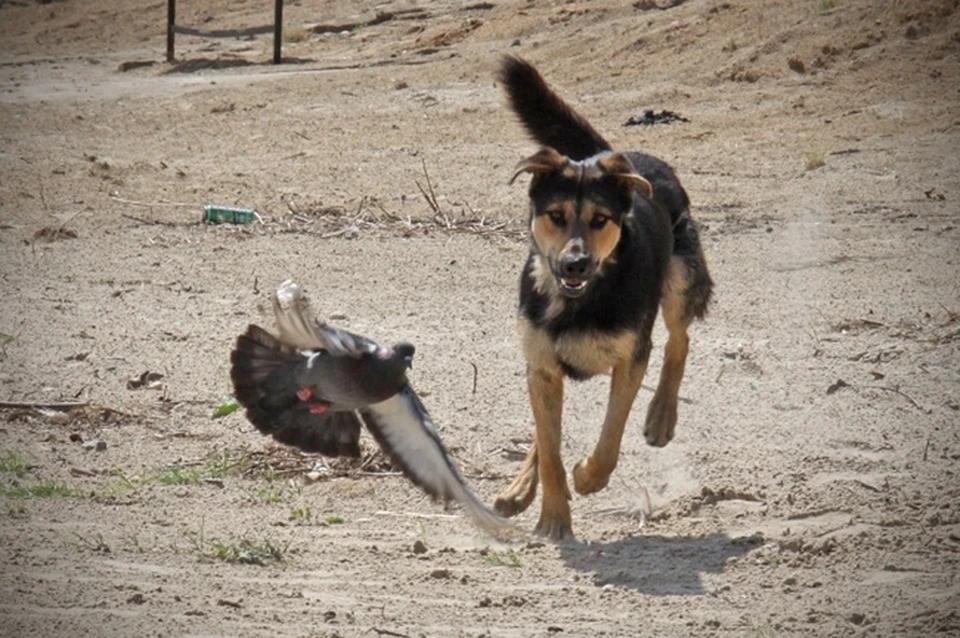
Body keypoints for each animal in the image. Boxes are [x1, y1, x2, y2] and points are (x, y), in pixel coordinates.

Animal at [496, 57, 712, 544]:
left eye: (600, 220)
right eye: (555, 216)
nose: (575, 264)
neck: (579, 300)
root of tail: (620, 157)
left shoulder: (630, 359)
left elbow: (610, 439)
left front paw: (587, 476)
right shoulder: (541, 366)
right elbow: (550, 450)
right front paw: (553, 517)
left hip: (679, 279)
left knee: (679, 340)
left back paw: (661, 416)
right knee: (543, 433)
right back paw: (519, 489)